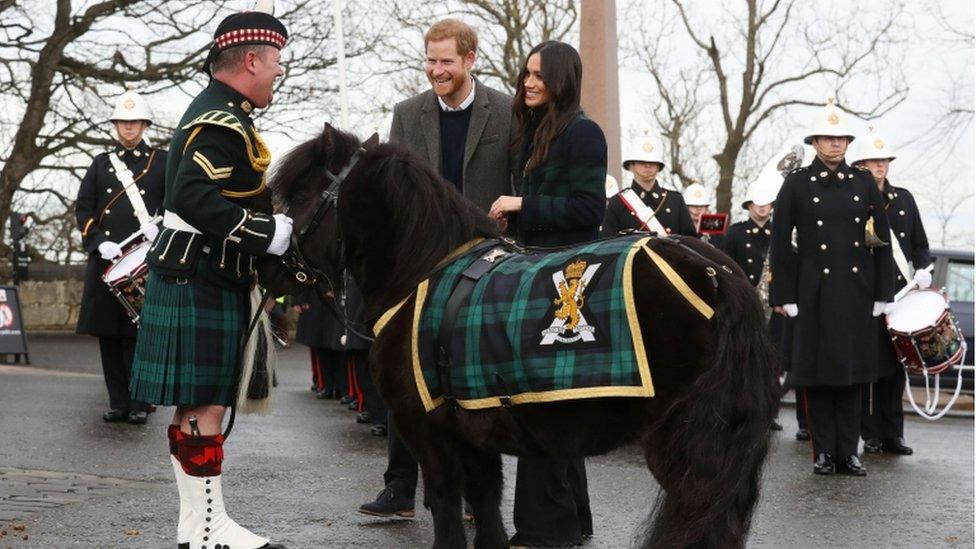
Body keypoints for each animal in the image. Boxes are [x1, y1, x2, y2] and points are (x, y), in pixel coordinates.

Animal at [260, 124, 776, 548]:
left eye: (302, 193)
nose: (270, 267)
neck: (422, 270)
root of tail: (715, 272)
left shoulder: (428, 430)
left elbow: (448, 513)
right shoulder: (475, 432)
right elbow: (487, 510)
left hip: (682, 447)